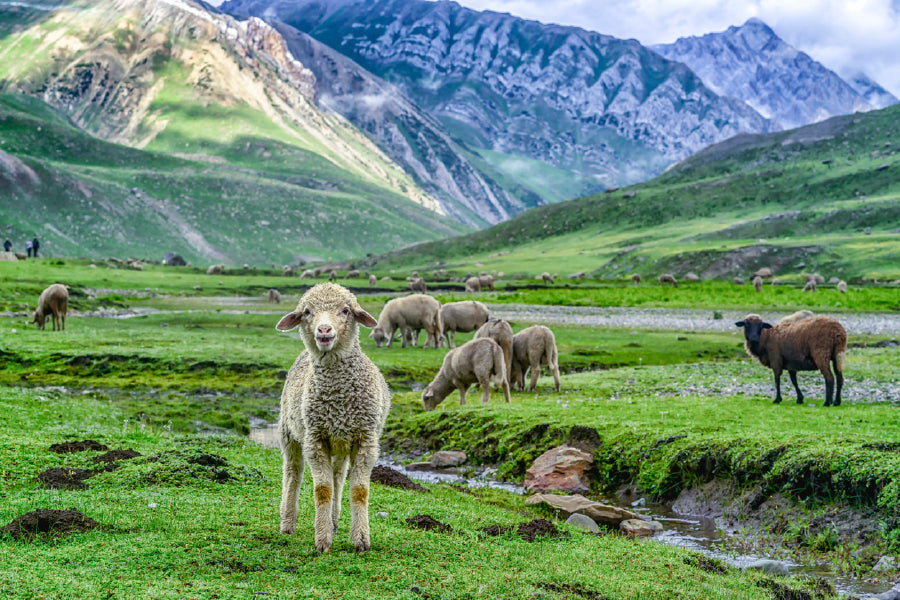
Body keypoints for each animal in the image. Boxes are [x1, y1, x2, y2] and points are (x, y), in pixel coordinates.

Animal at [274, 283, 390, 552]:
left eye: (345, 310)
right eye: (307, 311)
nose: (324, 330)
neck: (339, 400)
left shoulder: (365, 439)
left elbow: (359, 491)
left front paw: (361, 540)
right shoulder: (315, 439)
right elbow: (322, 490)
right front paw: (323, 540)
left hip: (340, 442)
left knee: (338, 476)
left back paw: (335, 521)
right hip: (289, 433)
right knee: (293, 472)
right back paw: (288, 522)